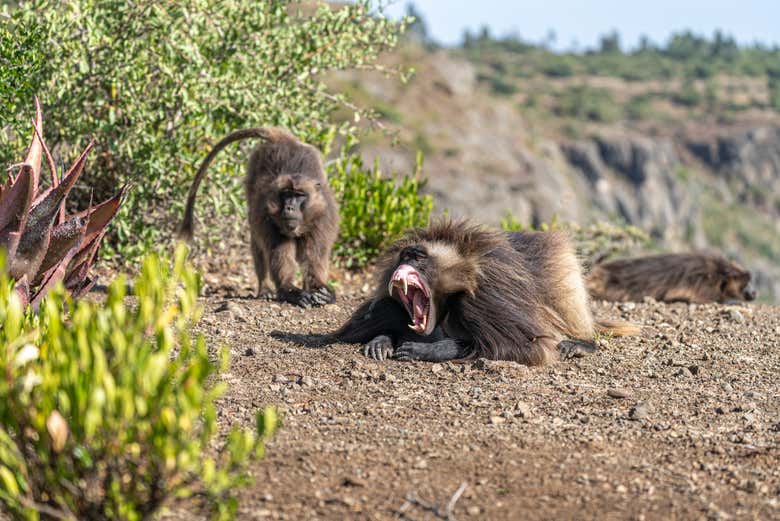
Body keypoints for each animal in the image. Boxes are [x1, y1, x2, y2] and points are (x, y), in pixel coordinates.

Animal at [178, 128, 339, 308]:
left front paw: (320, 289)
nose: (289, 208)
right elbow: (279, 254)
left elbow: (313, 259)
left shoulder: (322, 219)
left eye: (299, 195)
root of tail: (286, 140)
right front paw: (291, 291)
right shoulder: (268, 217)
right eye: (286, 194)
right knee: (257, 242)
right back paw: (265, 289)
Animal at [334, 219, 638, 364]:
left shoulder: (484, 300)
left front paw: (429, 350)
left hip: (560, 265)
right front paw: (382, 340)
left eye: (418, 257)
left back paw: (580, 343)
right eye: (405, 255)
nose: (403, 261)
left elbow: (526, 346)